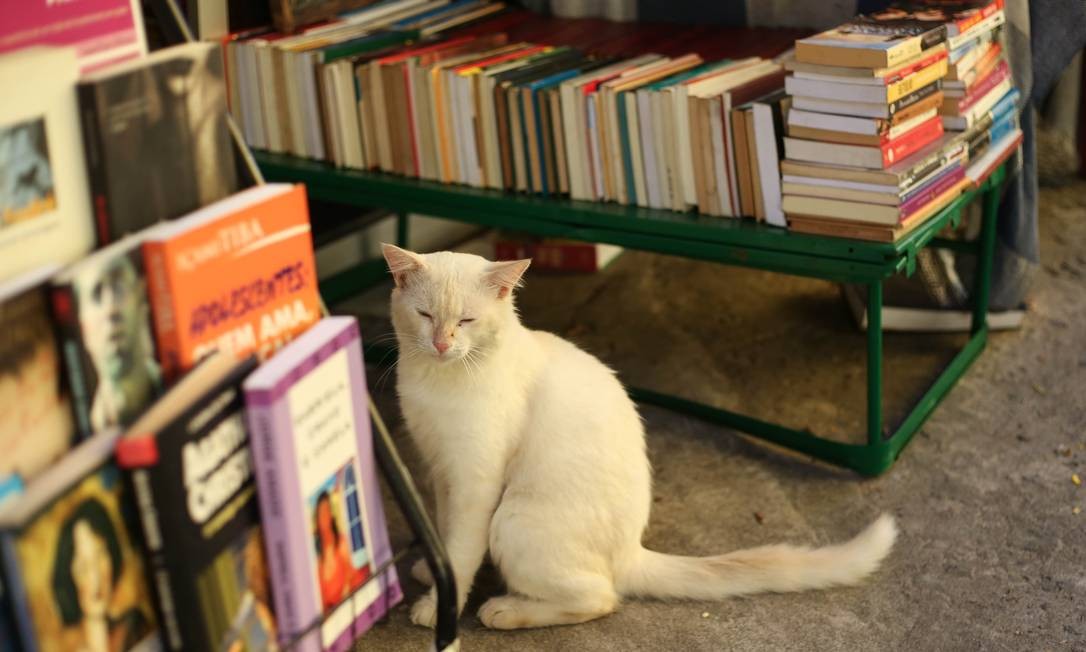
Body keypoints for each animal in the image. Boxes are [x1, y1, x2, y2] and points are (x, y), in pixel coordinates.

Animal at [377, 245, 894, 630]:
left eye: (465, 321)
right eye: (425, 315)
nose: (441, 343)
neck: (439, 382)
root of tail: (632, 551)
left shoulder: (475, 482)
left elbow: (463, 549)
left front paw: (439, 604)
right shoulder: (441, 471)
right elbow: (445, 531)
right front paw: (433, 573)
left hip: (513, 520)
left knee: (601, 597)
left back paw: (505, 610)